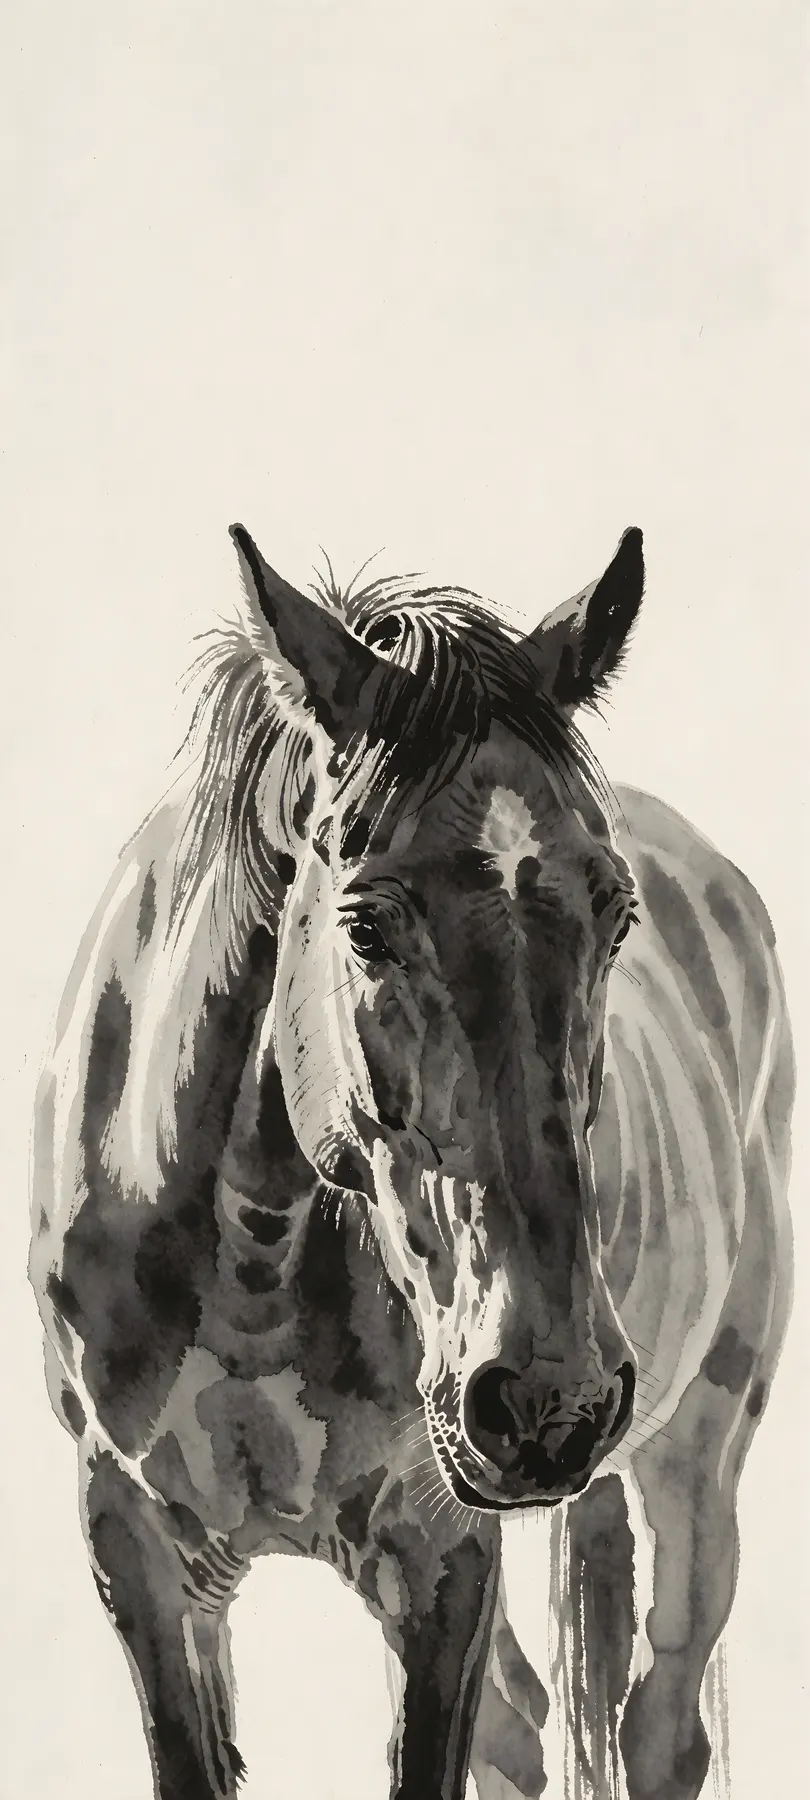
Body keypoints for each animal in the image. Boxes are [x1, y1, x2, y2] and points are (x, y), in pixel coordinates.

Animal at [29, 521, 794, 1800]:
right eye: (366, 921)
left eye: (616, 913)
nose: (550, 1397)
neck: (250, 1261)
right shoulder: (137, 1553)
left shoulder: (441, 1560)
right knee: (531, 1727)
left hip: (698, 1446)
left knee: (658, 1724)